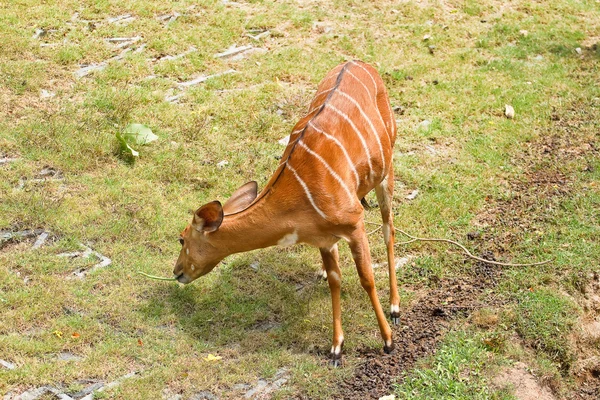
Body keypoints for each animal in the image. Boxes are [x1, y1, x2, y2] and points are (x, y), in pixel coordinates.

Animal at [173, 60, 398, 366]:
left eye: (182, 238)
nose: (177, 273)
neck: (297, 198)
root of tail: (357, 62)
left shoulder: (354, 224)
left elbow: (367, 279)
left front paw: (387, 341)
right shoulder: (325, 239)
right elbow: (335, 280)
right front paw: (336, 348)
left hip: (387, 172)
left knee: (389, 229)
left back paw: (395, 307)